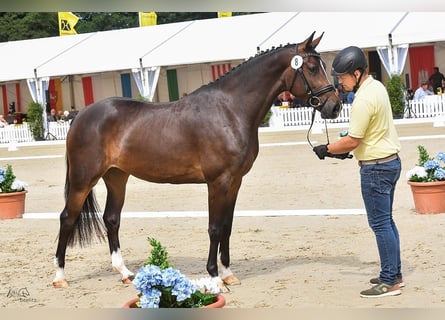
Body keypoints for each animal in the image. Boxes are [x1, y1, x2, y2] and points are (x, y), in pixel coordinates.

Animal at [53, 31, 342, 288]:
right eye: (312, 67)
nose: (334, 106)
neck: (229, 110)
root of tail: (81, 116)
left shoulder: (234, 182)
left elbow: (226, 226)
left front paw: (228, 274)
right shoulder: (217, 182)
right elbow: (214, 228)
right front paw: (214, 277)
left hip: (116, 177)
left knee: (111, 219)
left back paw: (124, 273)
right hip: (83, 179)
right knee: (67, 217)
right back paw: (60, 277)